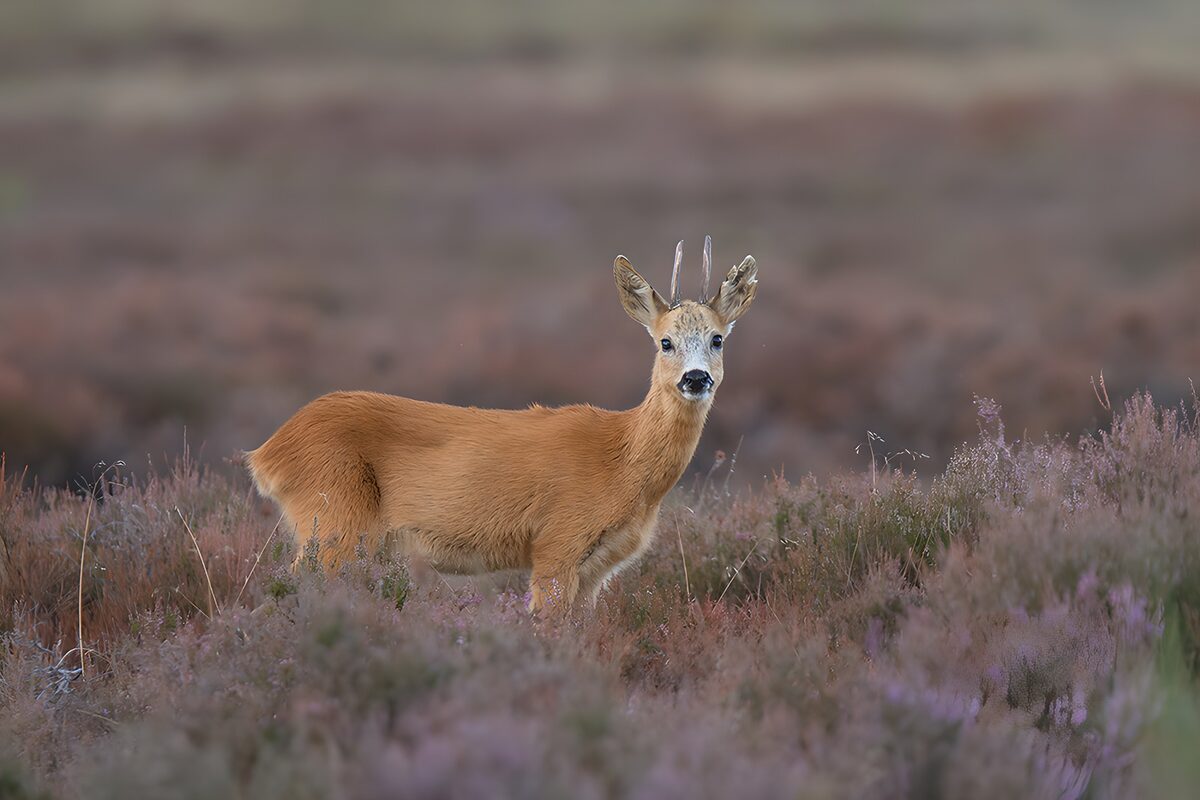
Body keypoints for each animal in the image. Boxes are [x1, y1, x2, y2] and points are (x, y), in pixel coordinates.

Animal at [245, 237, 758, 613]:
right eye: (665, 342)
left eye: (717, 338)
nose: (696, 378)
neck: (621, 461)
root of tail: (266, 453)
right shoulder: (557, 541)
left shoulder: (597, 570)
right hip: (334, 516)